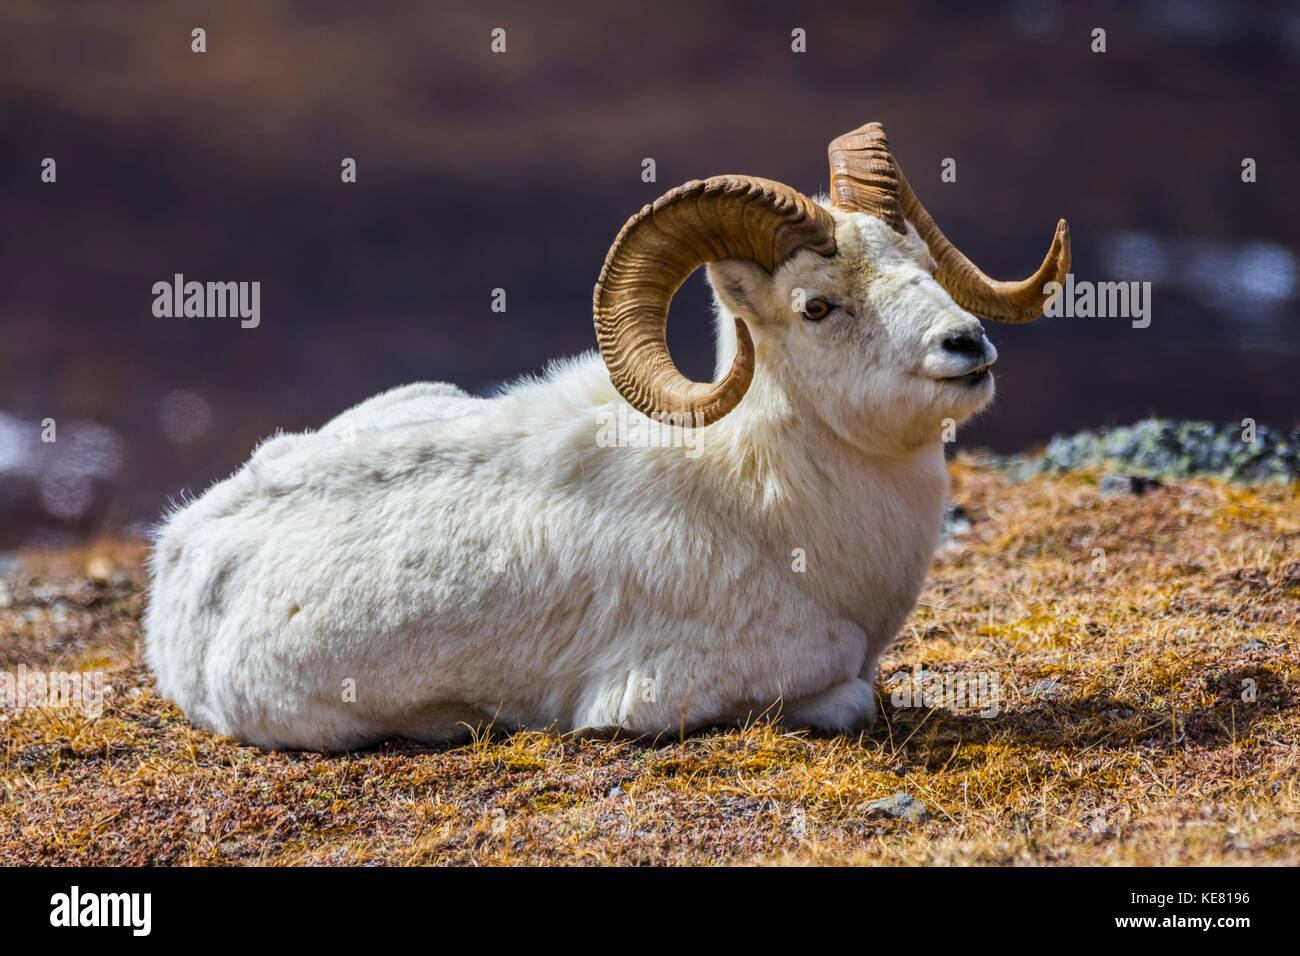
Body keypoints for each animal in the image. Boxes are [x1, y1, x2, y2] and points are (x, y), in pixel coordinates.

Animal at [147, 125, 1071, 754]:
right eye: (818, 306)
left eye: (923, 263)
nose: (966, 347)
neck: (770, 511)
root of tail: (181, 548)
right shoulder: (671, 693)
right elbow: (848, 695)